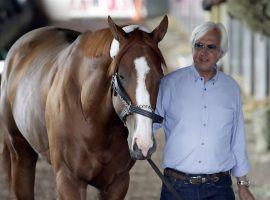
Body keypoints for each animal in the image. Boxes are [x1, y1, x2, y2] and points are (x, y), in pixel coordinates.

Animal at [0, 16, 167, 199]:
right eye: (121, 75)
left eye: (160, 77)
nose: (143, 144)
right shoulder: (69, 180)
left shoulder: (117, 182)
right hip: (21, 153)